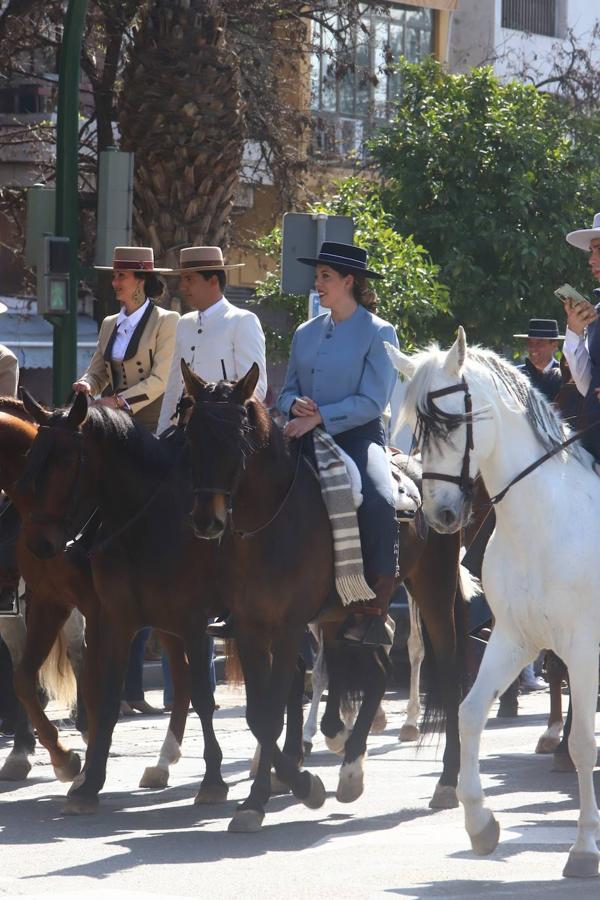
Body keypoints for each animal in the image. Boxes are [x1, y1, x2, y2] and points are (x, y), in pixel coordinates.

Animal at [386, 328, 600, 880]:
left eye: (452, 422)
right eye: (416, 431)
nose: (438, 515)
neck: (542, 523)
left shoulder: (583, 648)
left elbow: (583, 741)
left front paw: (584, 848)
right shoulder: (512, 639)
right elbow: (468, 713)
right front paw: (479, 822)